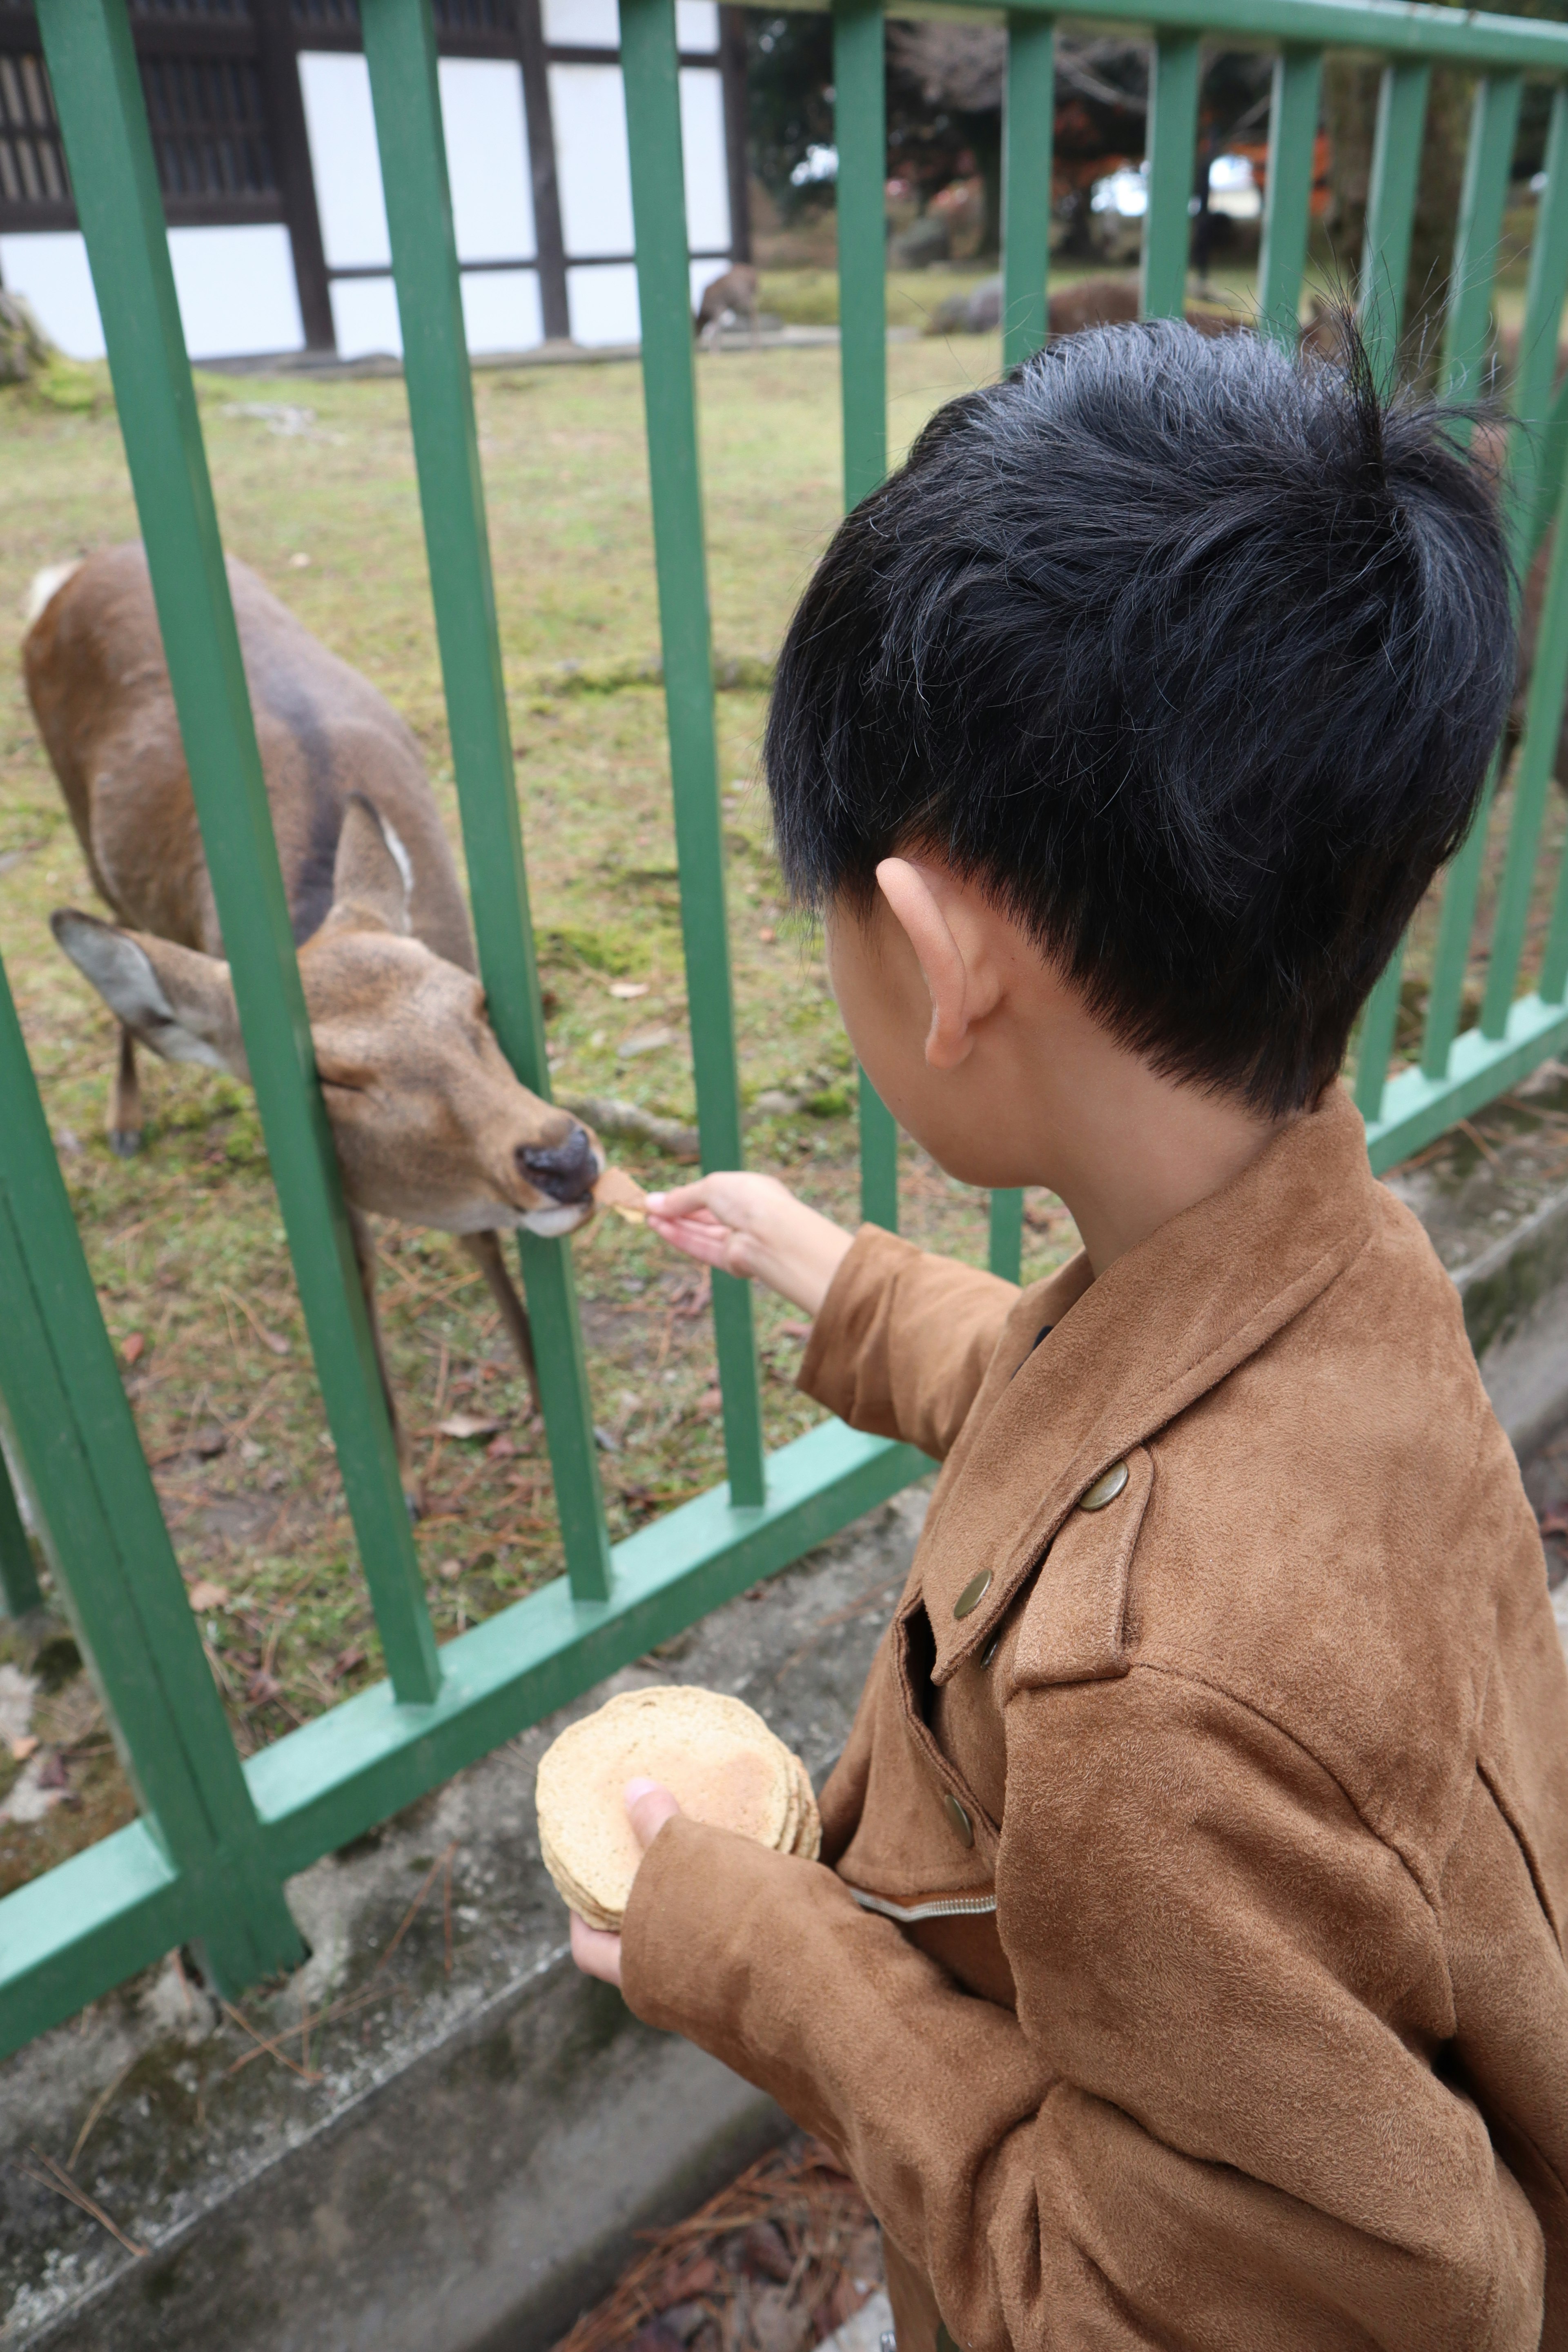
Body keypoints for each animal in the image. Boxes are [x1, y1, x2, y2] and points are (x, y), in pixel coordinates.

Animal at [21, 543, 606, 1515]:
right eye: (330, 1078)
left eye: (479, 1002)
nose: (563, 1157)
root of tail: (69, 569)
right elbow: (358, 1289)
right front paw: (400, 1482)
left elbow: (484, 1241)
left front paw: (574, 1420)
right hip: (76, 813)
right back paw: (125, 1119)